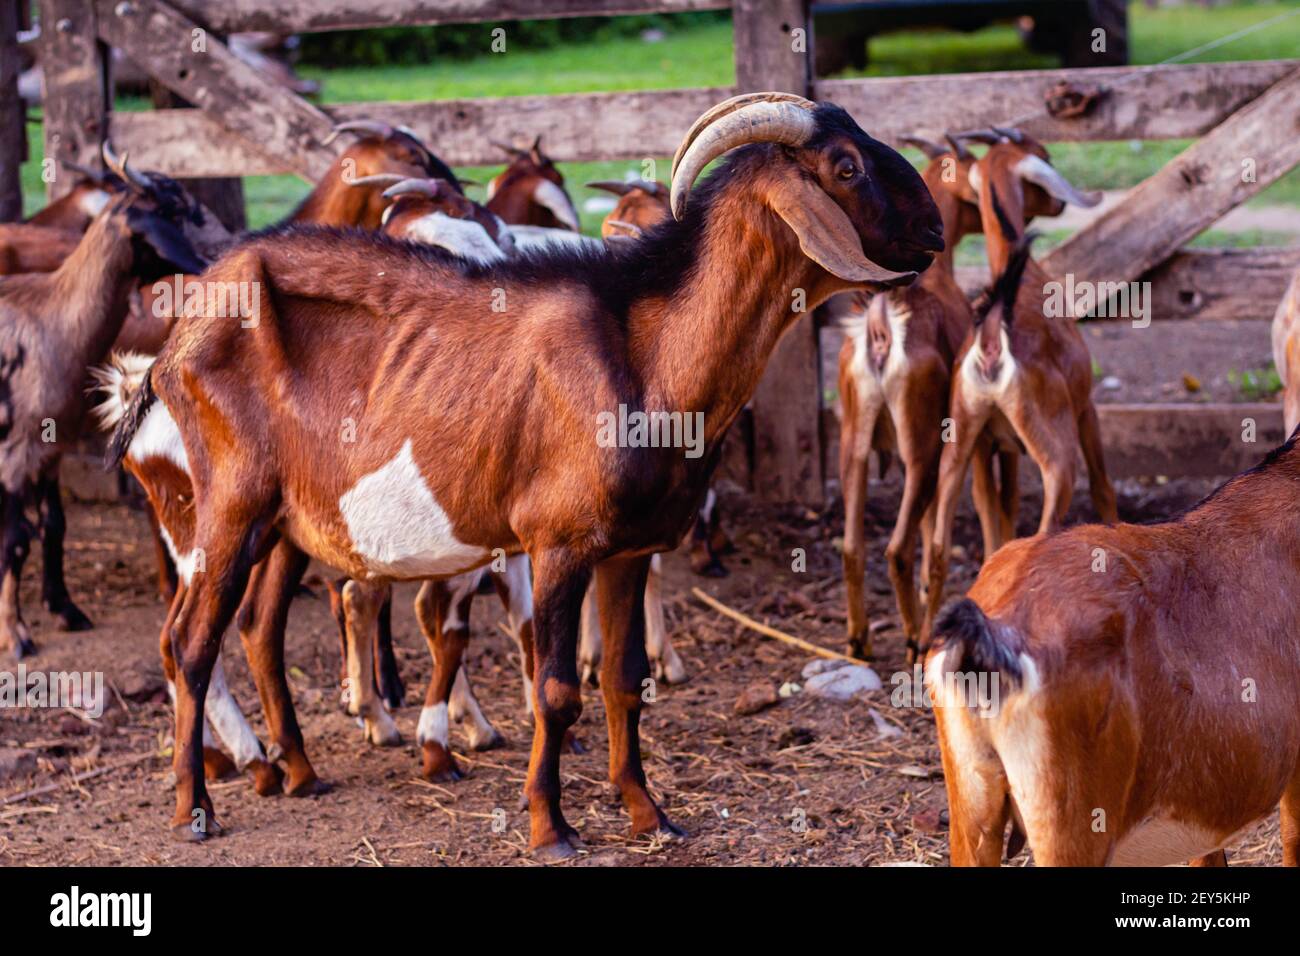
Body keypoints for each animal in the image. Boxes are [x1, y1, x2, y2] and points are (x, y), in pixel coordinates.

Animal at [0, 147, 206, 658]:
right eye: (170, 213)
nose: (206, 260)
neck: (51, 321)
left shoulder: (51, 447)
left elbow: (53, 525)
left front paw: (66, 609)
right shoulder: (14, 451)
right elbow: (14, 540)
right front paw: (16, 634)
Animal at [117, 92, 942, 855]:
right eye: (846, 166)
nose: (935, 232)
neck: (648, 354)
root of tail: (177, 337)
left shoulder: (628, 550)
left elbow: (622, 680)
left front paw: (649, 814)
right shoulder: (558, 544)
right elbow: (556, 689)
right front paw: (551, 827)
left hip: (287, 521)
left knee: (258, 628)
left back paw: (297, 770)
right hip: (227, 505)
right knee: (189, 642)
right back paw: (196, 805)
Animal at [919, 129, 1118, 660]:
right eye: (1043, 157)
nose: (1057, 203)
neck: (1022, 277)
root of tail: (992, 334)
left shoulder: (992, 443)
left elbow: (997, 519)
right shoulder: (1086, 409)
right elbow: (1104, 487)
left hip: (958, 440)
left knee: (938, 548)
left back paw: (920, 645)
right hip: (1053, 445)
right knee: (1046, 521)